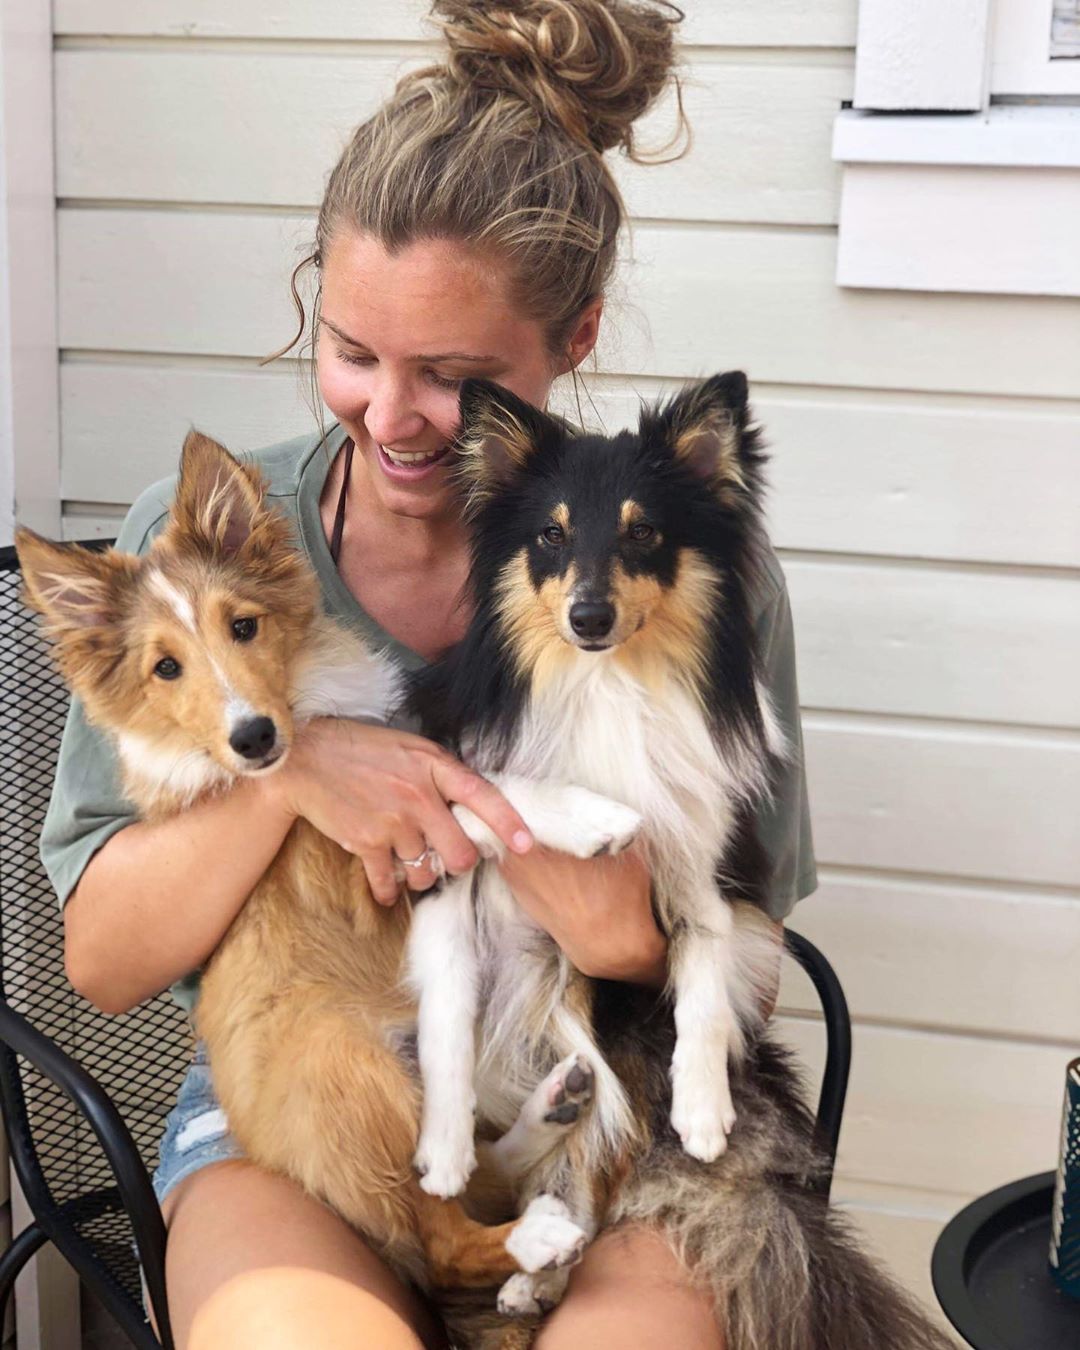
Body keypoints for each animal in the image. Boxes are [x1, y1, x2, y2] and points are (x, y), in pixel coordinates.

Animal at [14, 437, 642, 1301]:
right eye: (164, 669)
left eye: (244, 626)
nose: (252, 738)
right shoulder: (378, 855)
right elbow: (473, 790)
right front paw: (590, 817)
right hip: (353, 1068)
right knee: (440, 1230)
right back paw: (534, 1237)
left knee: (470, 1167)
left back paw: (554, 1108)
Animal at [405, 372, 955, 1350]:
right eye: (550, 534)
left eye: (644, 532)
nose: (588, 616)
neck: (607, 681)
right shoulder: (437, 841)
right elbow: (496, 804)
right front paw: (440, 1150)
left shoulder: (714, 877)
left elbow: (702, 973)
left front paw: (702, 1108)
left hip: (611, 1035)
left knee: (604, 1156)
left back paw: (548, 1256)